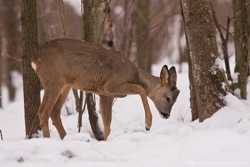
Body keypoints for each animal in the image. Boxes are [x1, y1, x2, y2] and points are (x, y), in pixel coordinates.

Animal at [31, 38, 180, 140]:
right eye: (168, 98)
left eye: (176, 99)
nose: (166, 115)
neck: (133, 74)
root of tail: (35, 59)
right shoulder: (111, 84)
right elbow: (142, 89)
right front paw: (148, 124)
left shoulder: (105, 93)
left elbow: (107, 122)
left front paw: (106, 140)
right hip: (53, 81)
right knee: (43, 111)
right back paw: (48, 139)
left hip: (65, 85)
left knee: (54, 111)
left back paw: (64, 138)